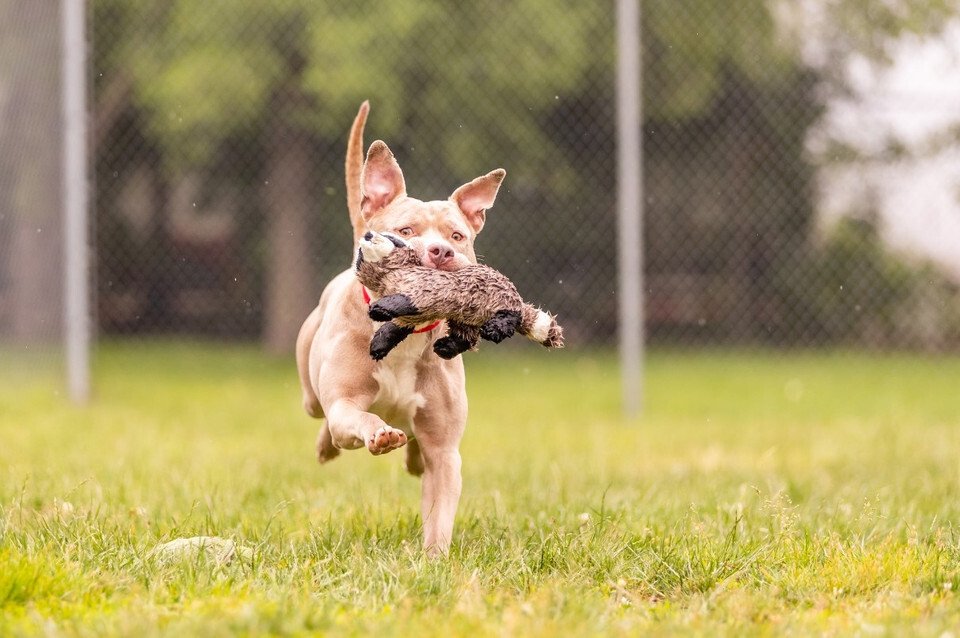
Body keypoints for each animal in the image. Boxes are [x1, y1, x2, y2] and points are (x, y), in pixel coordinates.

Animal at [294, 102, 506, 556]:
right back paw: (328, 446)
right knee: (323, 416)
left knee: (415, 449)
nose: (440, 251)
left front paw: (435, 559)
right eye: (406, 231)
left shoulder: (445, 451)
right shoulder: (345, 406)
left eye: (457, 235)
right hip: (312, 394)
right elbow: (359, 417)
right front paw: (378, 435)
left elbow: (440, 508)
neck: (404, 334)